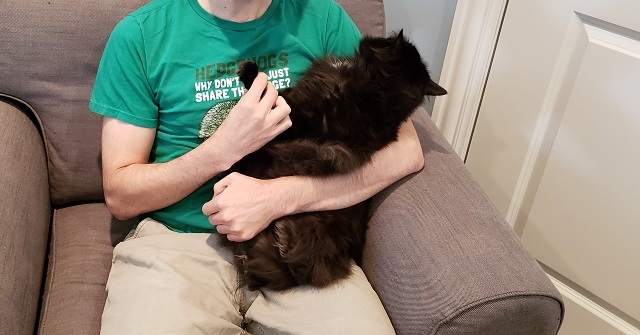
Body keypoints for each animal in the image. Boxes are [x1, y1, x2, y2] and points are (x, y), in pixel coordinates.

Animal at [228, 30, 448, 292]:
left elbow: (275, 97)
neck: (379, 92)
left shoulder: (295, 118)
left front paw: (249, 72)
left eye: (387, 42)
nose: (383, 36)